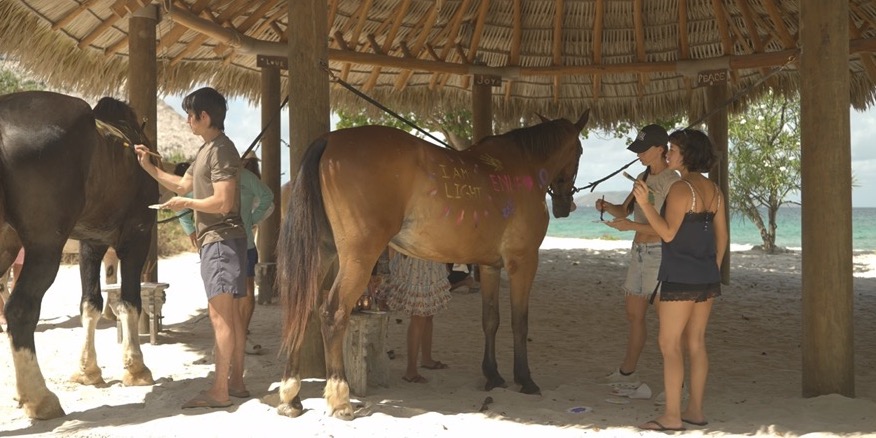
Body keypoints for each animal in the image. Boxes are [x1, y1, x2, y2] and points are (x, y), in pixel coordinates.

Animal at [0, 91, 159, 419]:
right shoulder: (136, 236)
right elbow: (129, 302)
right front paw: (136, 369)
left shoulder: (91, 242)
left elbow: (91, 304)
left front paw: (88, 371)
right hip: (44, 247)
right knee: (20, 310)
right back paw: (41, 399)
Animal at [275, 111, 589, 419]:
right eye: (580, 151)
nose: (565, 205)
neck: (522, 166)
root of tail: (328, 140)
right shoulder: (523, 262)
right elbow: (519, 322)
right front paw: (525, 379)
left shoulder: (490, 267)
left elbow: (491, 320)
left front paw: (493, 375)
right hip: (358, 259)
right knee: (332, 314)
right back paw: (340, 398)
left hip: (321, 253)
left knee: (302, 310)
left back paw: (291, 397)